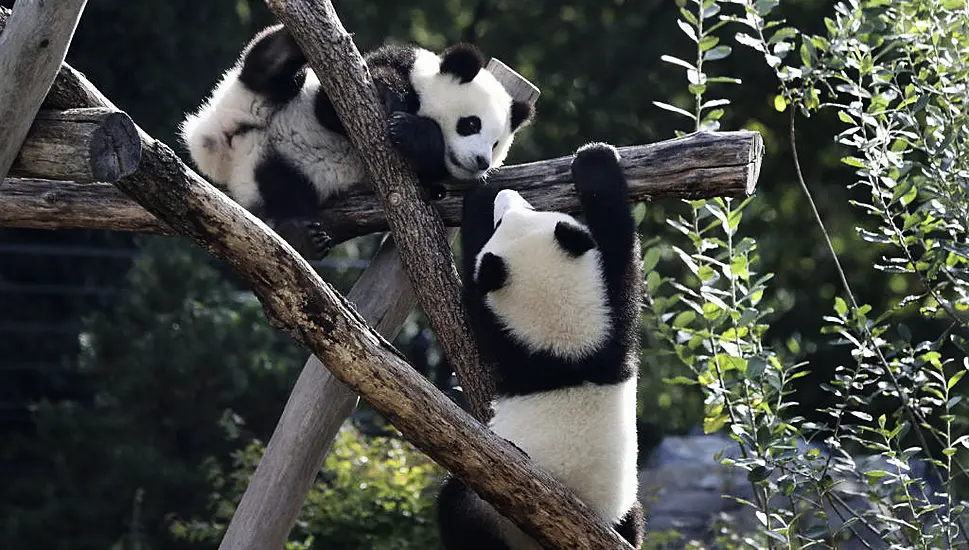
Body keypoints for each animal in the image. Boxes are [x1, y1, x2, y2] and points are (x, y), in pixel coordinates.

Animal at [178, 24, 532, 258]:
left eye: (496, 144)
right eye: (471, 124)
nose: (481, 162)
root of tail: (225, 143)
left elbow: (428, 174)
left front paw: (415, 135)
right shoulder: (383, 69)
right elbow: (331, 109)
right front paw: (391, 99)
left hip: (275, 171)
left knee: (284, 192)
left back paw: (300, 234)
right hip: (252, 97)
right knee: (266, 71)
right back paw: (285, 44)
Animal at [436, 143, 644, 550]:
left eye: (503, 222)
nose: (506, 196)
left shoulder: (503, 338)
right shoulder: (613, 316)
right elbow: (620, 244)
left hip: (489, 504)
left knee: (454, 507)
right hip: (622, 508)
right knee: (634, 519)